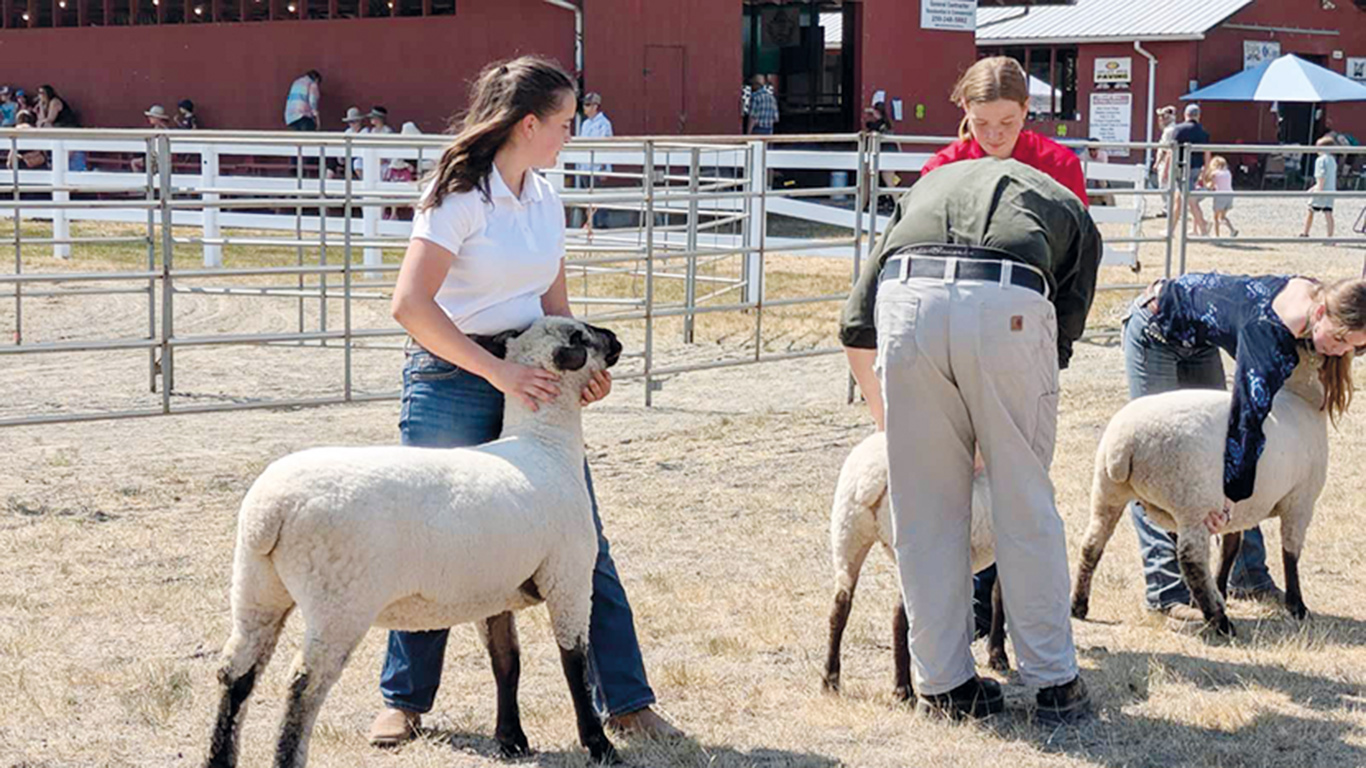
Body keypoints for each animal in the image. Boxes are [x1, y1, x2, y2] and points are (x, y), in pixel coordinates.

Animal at [200, 314, 625, 759]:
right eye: (581, 336)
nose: (615, 339)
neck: (545, 445)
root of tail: (270, 512)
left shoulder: (495, 587)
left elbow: (506, 660)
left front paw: (511, 740)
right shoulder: (568, 578)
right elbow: (574, 661)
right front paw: (599, 745)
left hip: (256, 589)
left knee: (235, 672)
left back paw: (219, 755)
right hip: (339, 604)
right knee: (303, 684)